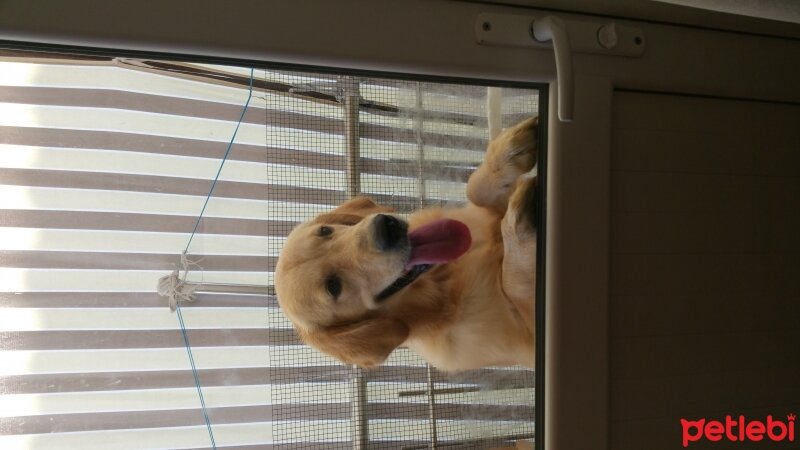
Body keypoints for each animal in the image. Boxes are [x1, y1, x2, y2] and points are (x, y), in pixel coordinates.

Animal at [274, 117, 536, 372]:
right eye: (333, 286)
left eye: (326, 231)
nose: (385, 228)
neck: (442, 281)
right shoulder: (526, 342)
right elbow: (513, 283)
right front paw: (519, 222)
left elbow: (474, 190)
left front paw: (511, 150)